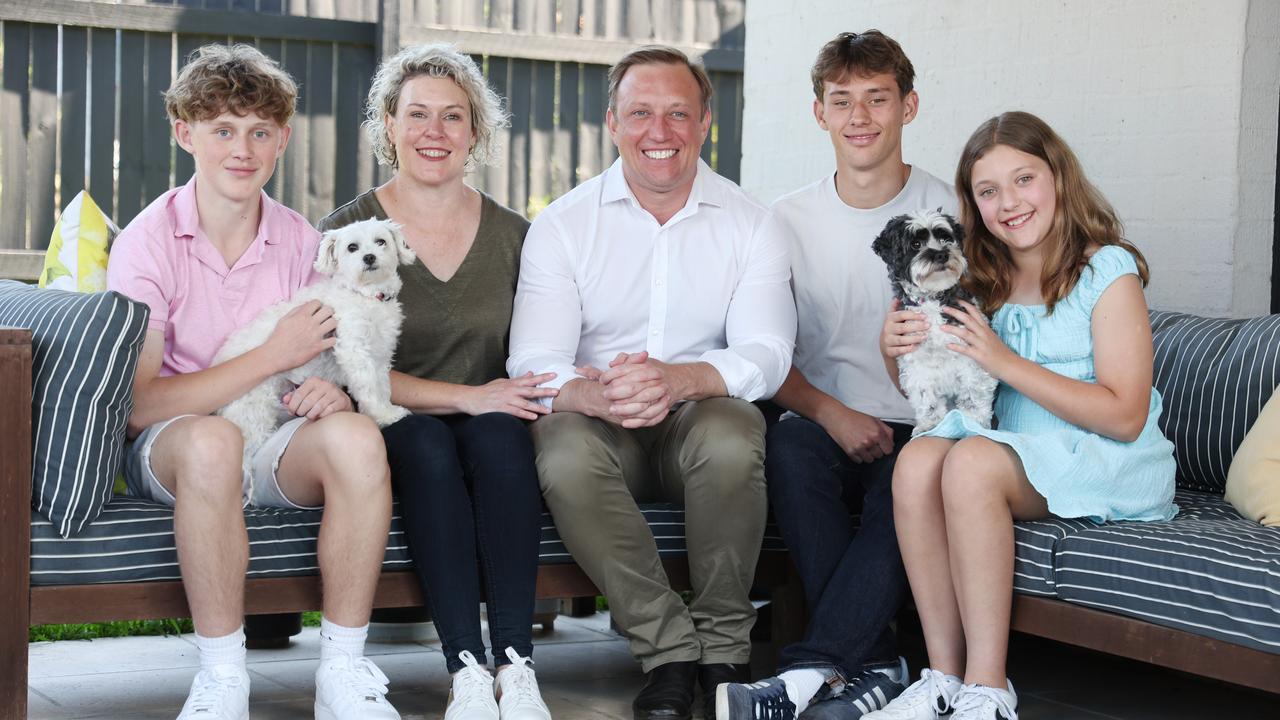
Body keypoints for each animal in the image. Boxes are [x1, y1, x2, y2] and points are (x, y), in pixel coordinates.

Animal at [215, 215, 414, 456]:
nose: (369, 257)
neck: (364, 295)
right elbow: (368, 387)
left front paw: (387, 412)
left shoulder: (380, 353)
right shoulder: (354, 350)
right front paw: (380, 415)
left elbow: (382, 386)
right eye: (352, 247)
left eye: (381, 241)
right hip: (254, 410)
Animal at [870, 207, 998, 430]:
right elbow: (926, 399)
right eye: (915, 244)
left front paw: (971, 422)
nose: (941, 253)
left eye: (945, 238)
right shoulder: (916, 365)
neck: (931, 300)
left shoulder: (972, 357)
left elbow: (973, 393)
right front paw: (931, 423)